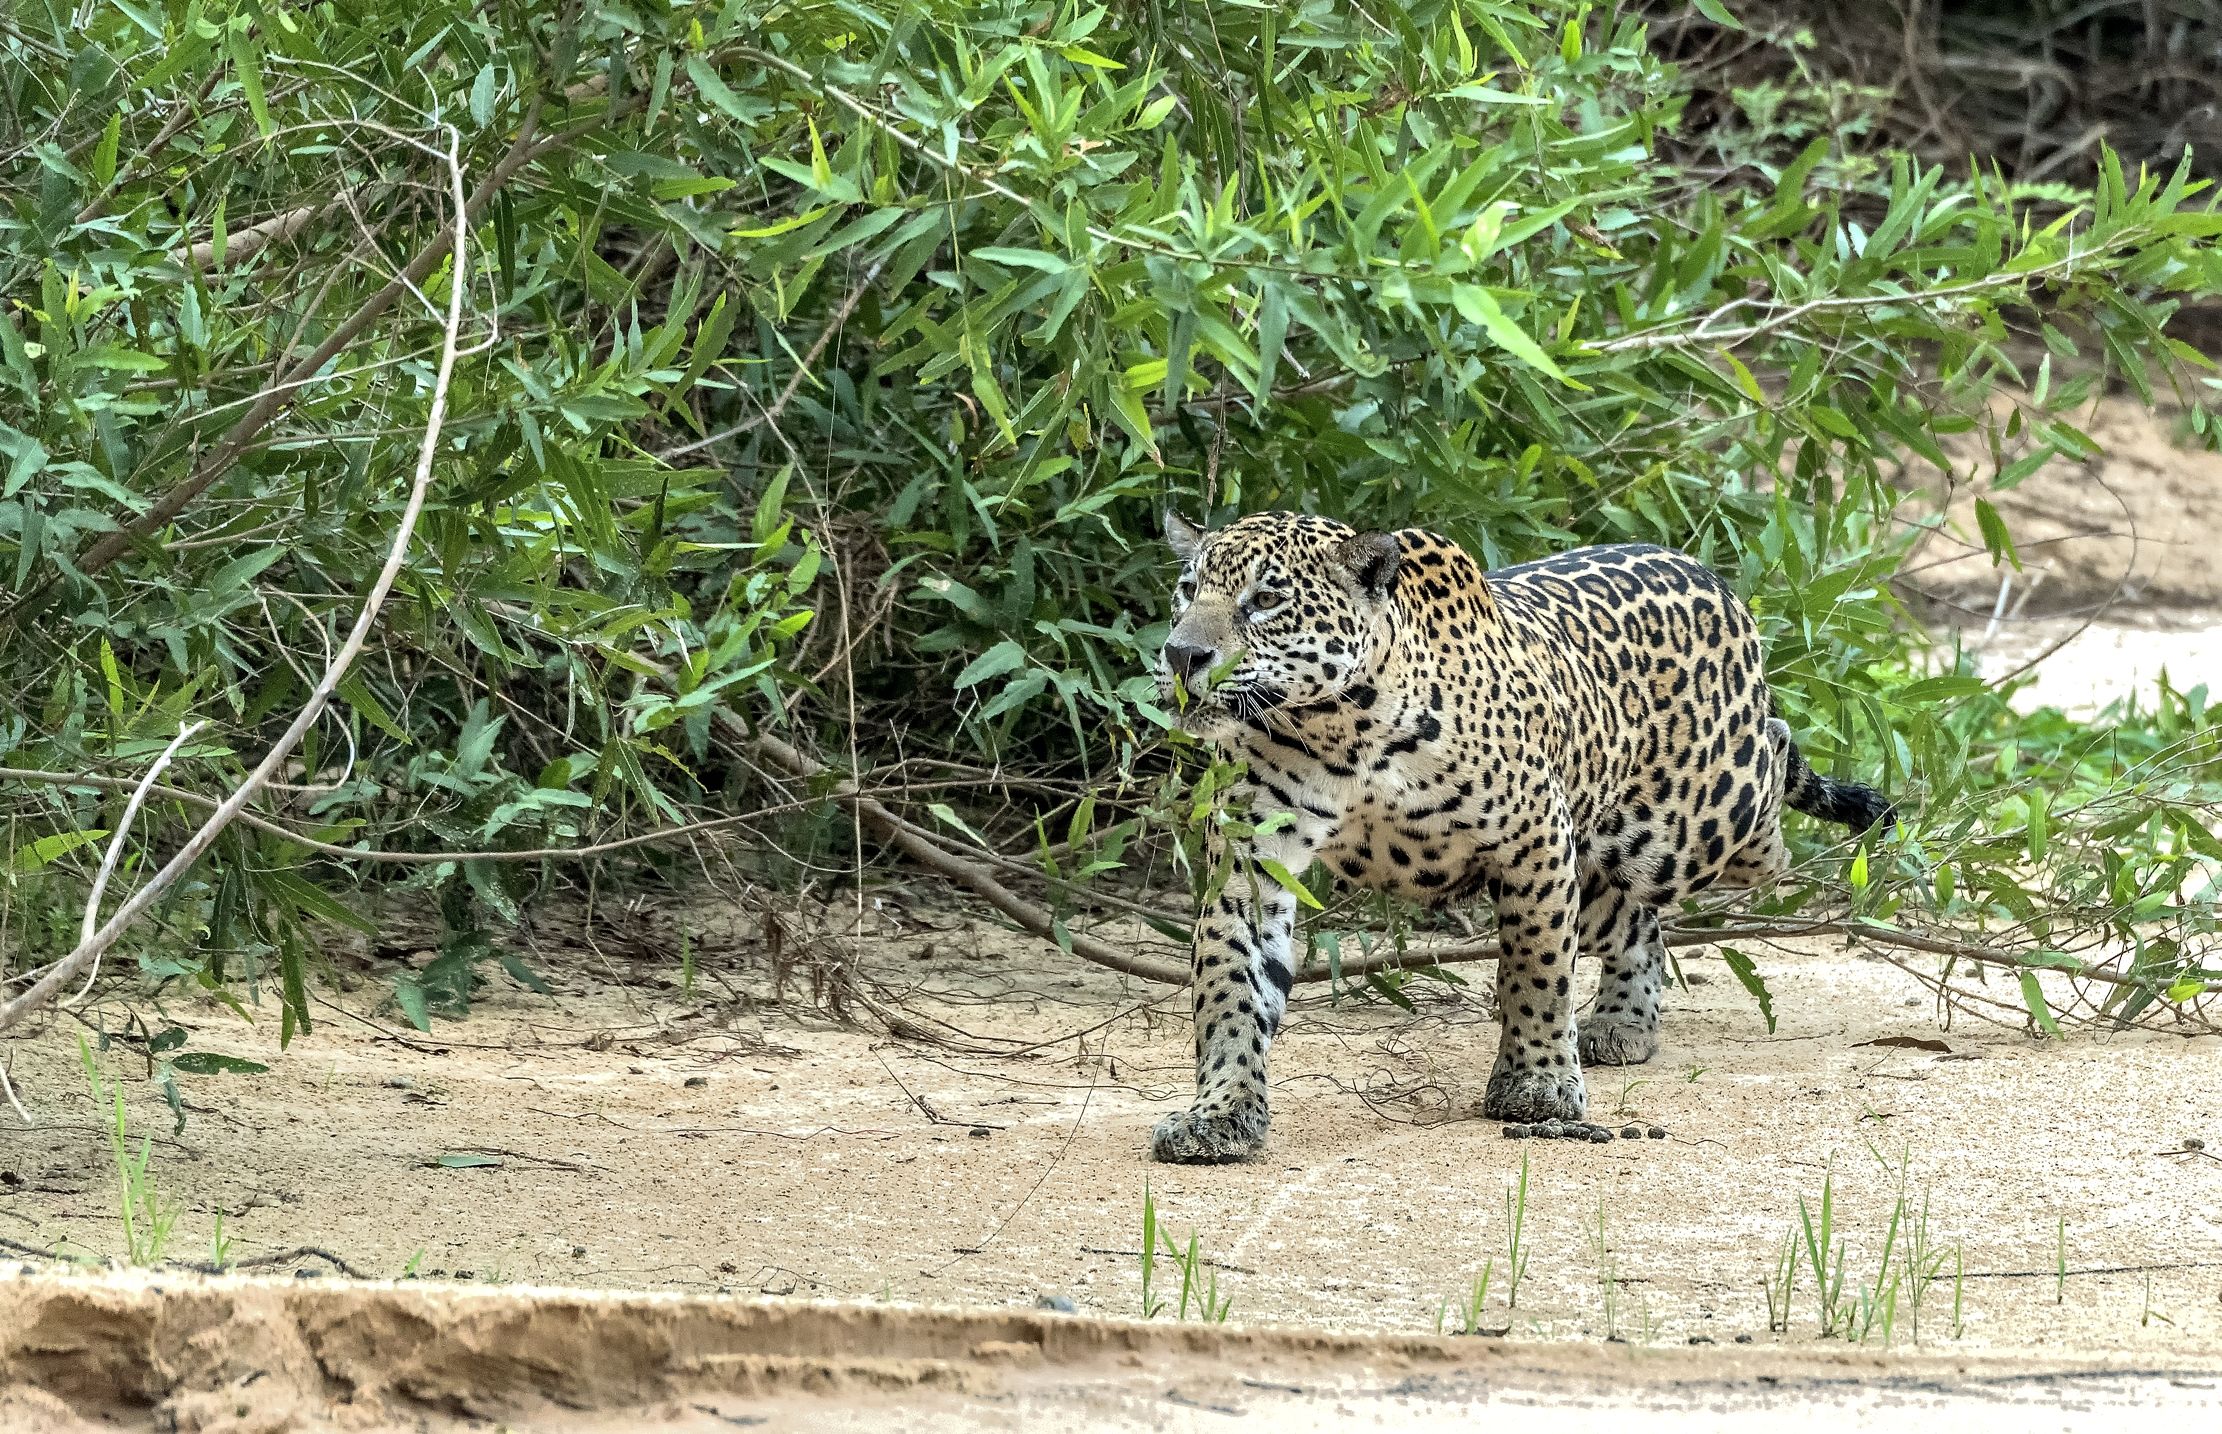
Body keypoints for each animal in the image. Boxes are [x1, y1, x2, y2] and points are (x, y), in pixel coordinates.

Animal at [1149, 509, 1894, 1165]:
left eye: (1266, 600)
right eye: (1187, 592)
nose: (1182, 654)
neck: (1339, 731)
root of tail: (1714, 578)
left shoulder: (1535, 841)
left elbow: (1537, 971)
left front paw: (1535, 1082)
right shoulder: (1252, 859)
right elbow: (1232, 987)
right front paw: (1220, 1114)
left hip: (1695, 827)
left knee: (1772, 784)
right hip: (1600, 871)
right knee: (1638, 925)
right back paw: (1623, 1022)